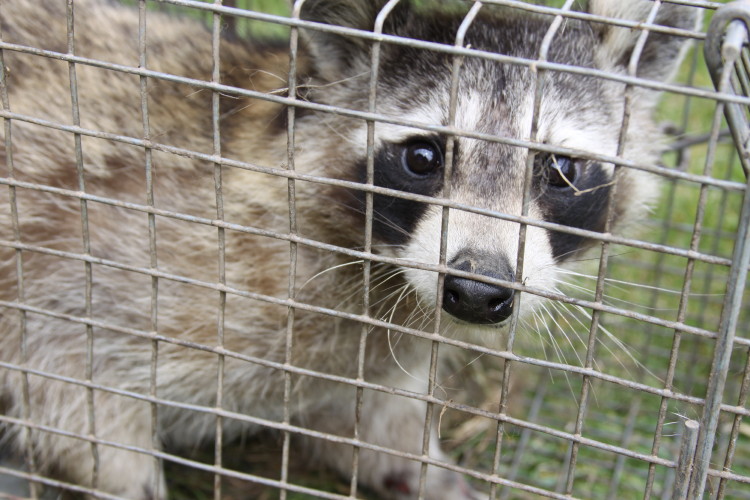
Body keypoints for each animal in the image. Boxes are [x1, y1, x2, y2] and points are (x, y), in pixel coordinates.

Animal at [1, 0, 700, 498]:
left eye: (561, 171)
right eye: (423, 158)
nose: (477, 290)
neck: (377, 269)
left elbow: (375, 423)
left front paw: (421, 469)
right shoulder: (109, 252)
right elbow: (70, 376)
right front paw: (124, 477)